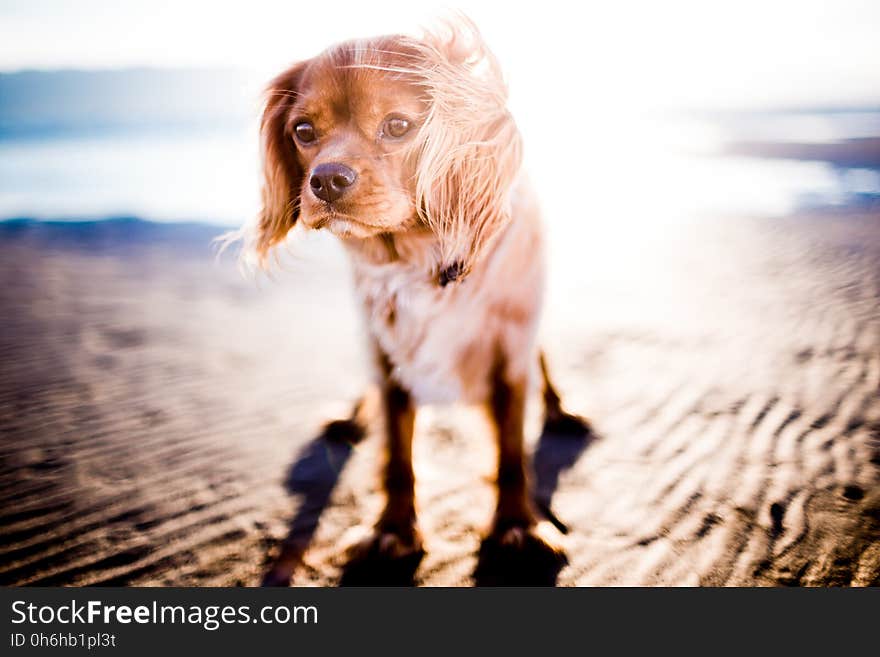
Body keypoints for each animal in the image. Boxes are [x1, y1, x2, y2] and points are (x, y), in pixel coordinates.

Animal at [227, 18, 588, 572]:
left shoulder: (509, 349)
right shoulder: (385, 351)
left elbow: (510, 451)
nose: (325, 180)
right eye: (303, 132)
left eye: (398, 126)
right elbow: (397, 454)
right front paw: (392, 530)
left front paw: (518, 526)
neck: (419, 257)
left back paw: (560, 410)